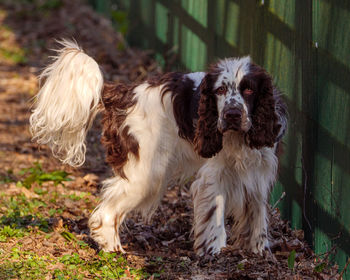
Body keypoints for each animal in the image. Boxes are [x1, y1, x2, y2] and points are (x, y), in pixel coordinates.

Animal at [30, 40, 288, 256]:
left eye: (249, 90)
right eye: (220, 90)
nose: (232, 114)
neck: (239, 138)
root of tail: (124, 93)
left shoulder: (259, 170)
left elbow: (257, 214)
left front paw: (259, 251)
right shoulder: (214, 175)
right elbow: (215, 215)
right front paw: (213, 253)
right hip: (147, 172)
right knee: (105, 213)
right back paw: (112, 249)